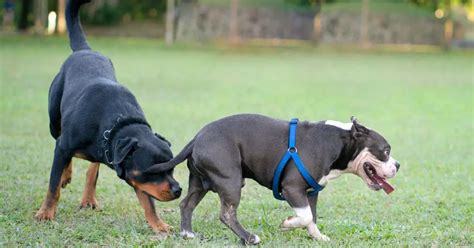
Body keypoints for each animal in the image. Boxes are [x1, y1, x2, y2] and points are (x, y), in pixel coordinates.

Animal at [34, 0, 182, 234]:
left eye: (173, 168)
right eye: (154, 171)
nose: (178, 189)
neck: (119, 122)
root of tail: (85, 50)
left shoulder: (129, 169)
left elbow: (148, 203)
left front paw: (159, 225)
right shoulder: (64, 145)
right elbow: (52, 185)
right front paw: (46, 213)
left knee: (92, 168)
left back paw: (88, 197)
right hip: (54, 123)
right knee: (63, 149)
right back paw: (66, 175)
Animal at [145, 114, 400, 244]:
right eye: (386, 150)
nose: (397, 165)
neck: (340, 141)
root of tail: (197, 137)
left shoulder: (311, 192)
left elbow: (311, 217)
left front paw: (318, 237)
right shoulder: (292, 188)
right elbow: (305, 215)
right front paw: (288, 224)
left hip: (200, 183)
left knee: (186, 204)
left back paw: (188, 234)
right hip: (230, 180)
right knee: (227, 214)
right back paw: (249, 238)